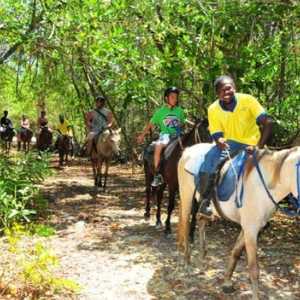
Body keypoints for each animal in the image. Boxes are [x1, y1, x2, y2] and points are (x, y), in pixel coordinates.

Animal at [177, 144, 300, 298]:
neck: (264, 184)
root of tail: (188, 150)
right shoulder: (251, 229)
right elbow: (253, 269)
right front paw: (255, 296)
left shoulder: (250, 228)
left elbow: (235, 252)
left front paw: (227, 282)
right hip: (186, 196)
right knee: (185, 225)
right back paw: (187, 262)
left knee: (201, 221)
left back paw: (201, 260)